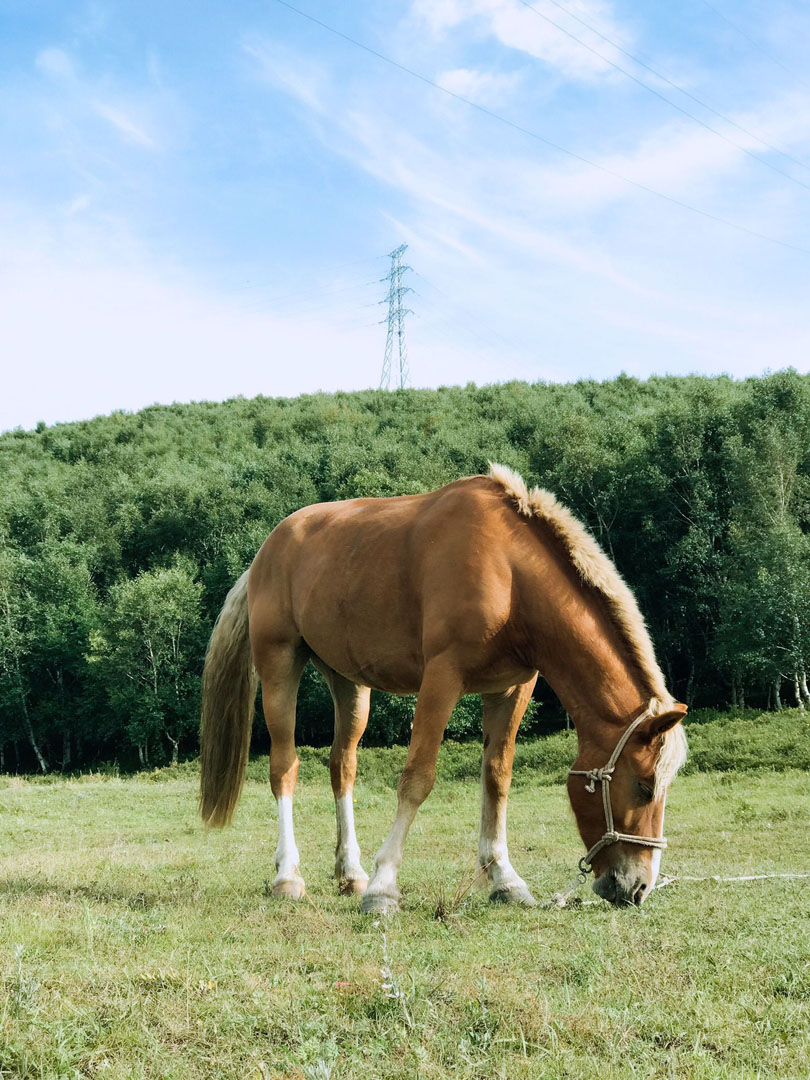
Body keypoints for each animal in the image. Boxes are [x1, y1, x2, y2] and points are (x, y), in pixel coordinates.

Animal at [199, 464, 686, 911]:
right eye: (644, 787)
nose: (639, 887)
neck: (509, 572)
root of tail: (266, 551)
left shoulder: (512, 688)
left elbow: (496, 778)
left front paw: (504, 878)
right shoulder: (442, 677)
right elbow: (417, 777)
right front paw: (384, 886)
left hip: (349, 683)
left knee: (342, 767)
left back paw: (350, 873)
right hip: (279, 664)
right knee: (284, 766)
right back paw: (288, 876)